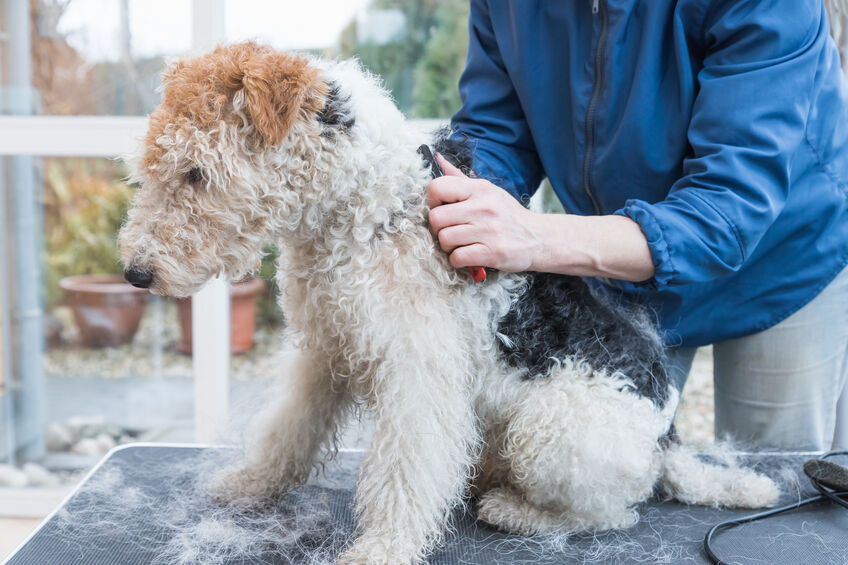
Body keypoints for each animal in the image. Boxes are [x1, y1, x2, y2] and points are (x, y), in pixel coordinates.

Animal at [119, 41, 780, 560]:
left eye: (198, 172)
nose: (135, 272)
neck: (369, 207)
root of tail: (668, 440)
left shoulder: (417, 370)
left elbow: (404, 471)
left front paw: (381, 549)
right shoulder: (326, 348)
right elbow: (289, 428)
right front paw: (250, 483)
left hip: (554, 430)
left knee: (614, 511)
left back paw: (513, 509)